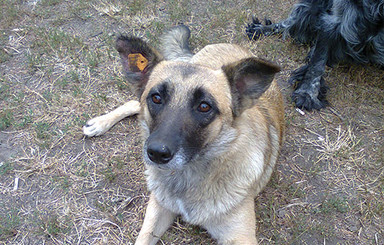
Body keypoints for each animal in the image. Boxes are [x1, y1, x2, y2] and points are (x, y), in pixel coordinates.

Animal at [82, 25, 284, 245]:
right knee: (133, 103)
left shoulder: (241, 238)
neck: (187, 173)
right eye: (156, 98)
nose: (156, 153)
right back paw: (99, 124)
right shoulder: (158, 207)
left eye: (204, 106)